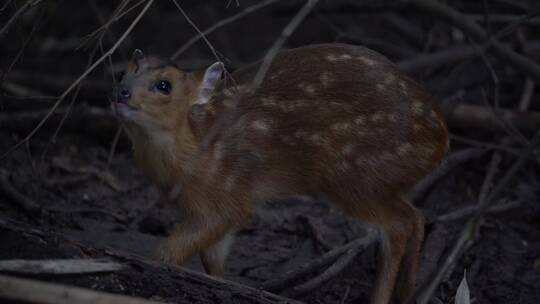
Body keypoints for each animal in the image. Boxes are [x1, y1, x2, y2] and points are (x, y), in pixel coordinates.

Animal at [113, 43, 448, 304]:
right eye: (124, 72)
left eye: (163, 85)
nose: (121, 92)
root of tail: (440, 138)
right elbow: (213, 262)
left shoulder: (228, 197)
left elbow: (168, 252)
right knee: (416, 215)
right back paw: (409, 291)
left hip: (355, 177)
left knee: (398, 224)